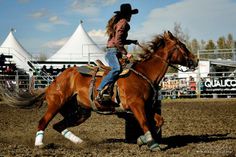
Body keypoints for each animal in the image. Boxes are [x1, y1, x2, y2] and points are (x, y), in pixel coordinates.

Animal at [0, 31, 198, 151]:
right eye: (182, 46)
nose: (195, 61)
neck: (143, 73)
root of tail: (53, 82)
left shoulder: (147, 106)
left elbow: (158, 121)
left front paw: (143, 140)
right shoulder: (136, 106)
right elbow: (145, 123)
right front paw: (152, 143)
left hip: (80, 112)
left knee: (59, 126)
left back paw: (80, 143)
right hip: (56, 103)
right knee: (43, 122)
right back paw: (39, 145)